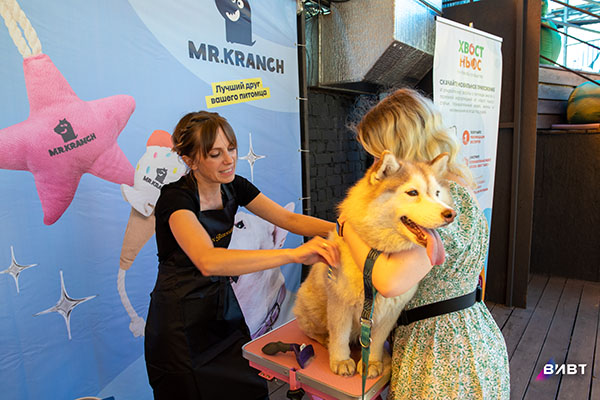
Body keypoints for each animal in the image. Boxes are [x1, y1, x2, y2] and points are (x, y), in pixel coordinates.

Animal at [293, 151, 456, 378]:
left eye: (437, 193)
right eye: (412, 192)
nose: (450, 214)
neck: (375, 259)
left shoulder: (390, 312)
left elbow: (377, 341)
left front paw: (372, 362)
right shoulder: (339, 302)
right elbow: (339, 335)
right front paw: (341, 360)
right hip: (312, 307)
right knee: (313, 331)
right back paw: (324, 339)